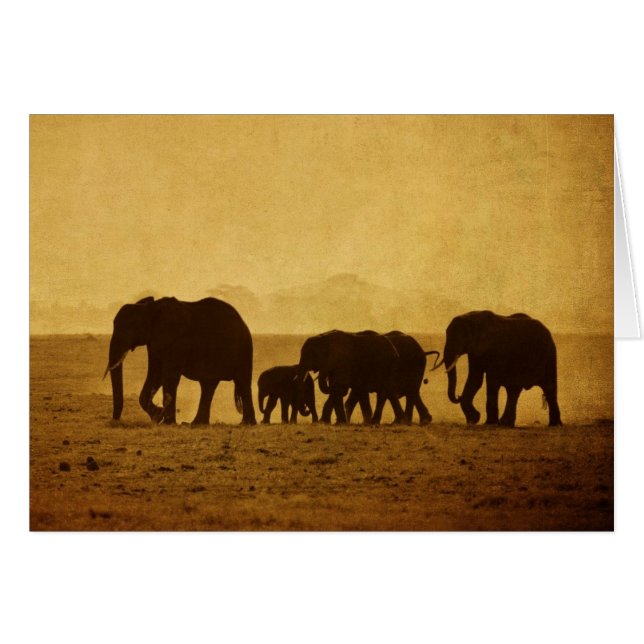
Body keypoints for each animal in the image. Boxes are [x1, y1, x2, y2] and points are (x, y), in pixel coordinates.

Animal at [104, 296, 257, 425]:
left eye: (131, 326)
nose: (115, 421)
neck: (150, 308)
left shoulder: (177, 340)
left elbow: (169, 376)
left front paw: (166, 422)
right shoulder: (155, 342)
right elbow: (156, 374)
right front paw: (158, 416)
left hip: (244, 348)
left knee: (242, 381)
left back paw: (246, 424)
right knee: (208, 385)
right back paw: (195, 424)